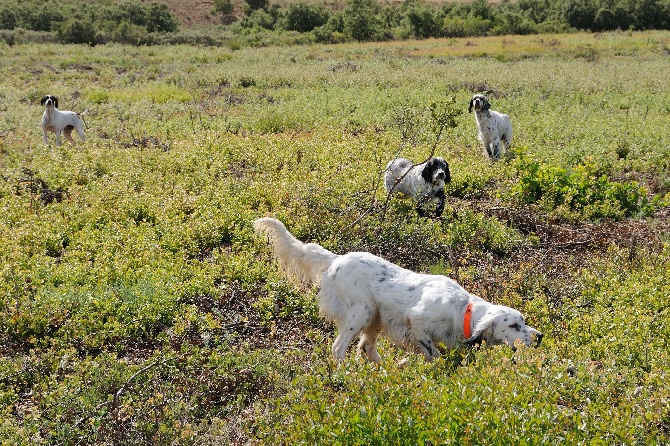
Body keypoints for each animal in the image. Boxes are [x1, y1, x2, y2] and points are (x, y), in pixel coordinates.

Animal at [255, 219, 544, 362]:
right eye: (514, 326)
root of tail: (336, 258)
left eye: (524, 321)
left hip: (375, 318)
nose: (540, 336)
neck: (462, 309)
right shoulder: (415, 321)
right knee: (338, 349)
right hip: (361, 312)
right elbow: (433, 353)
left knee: (367, 349)